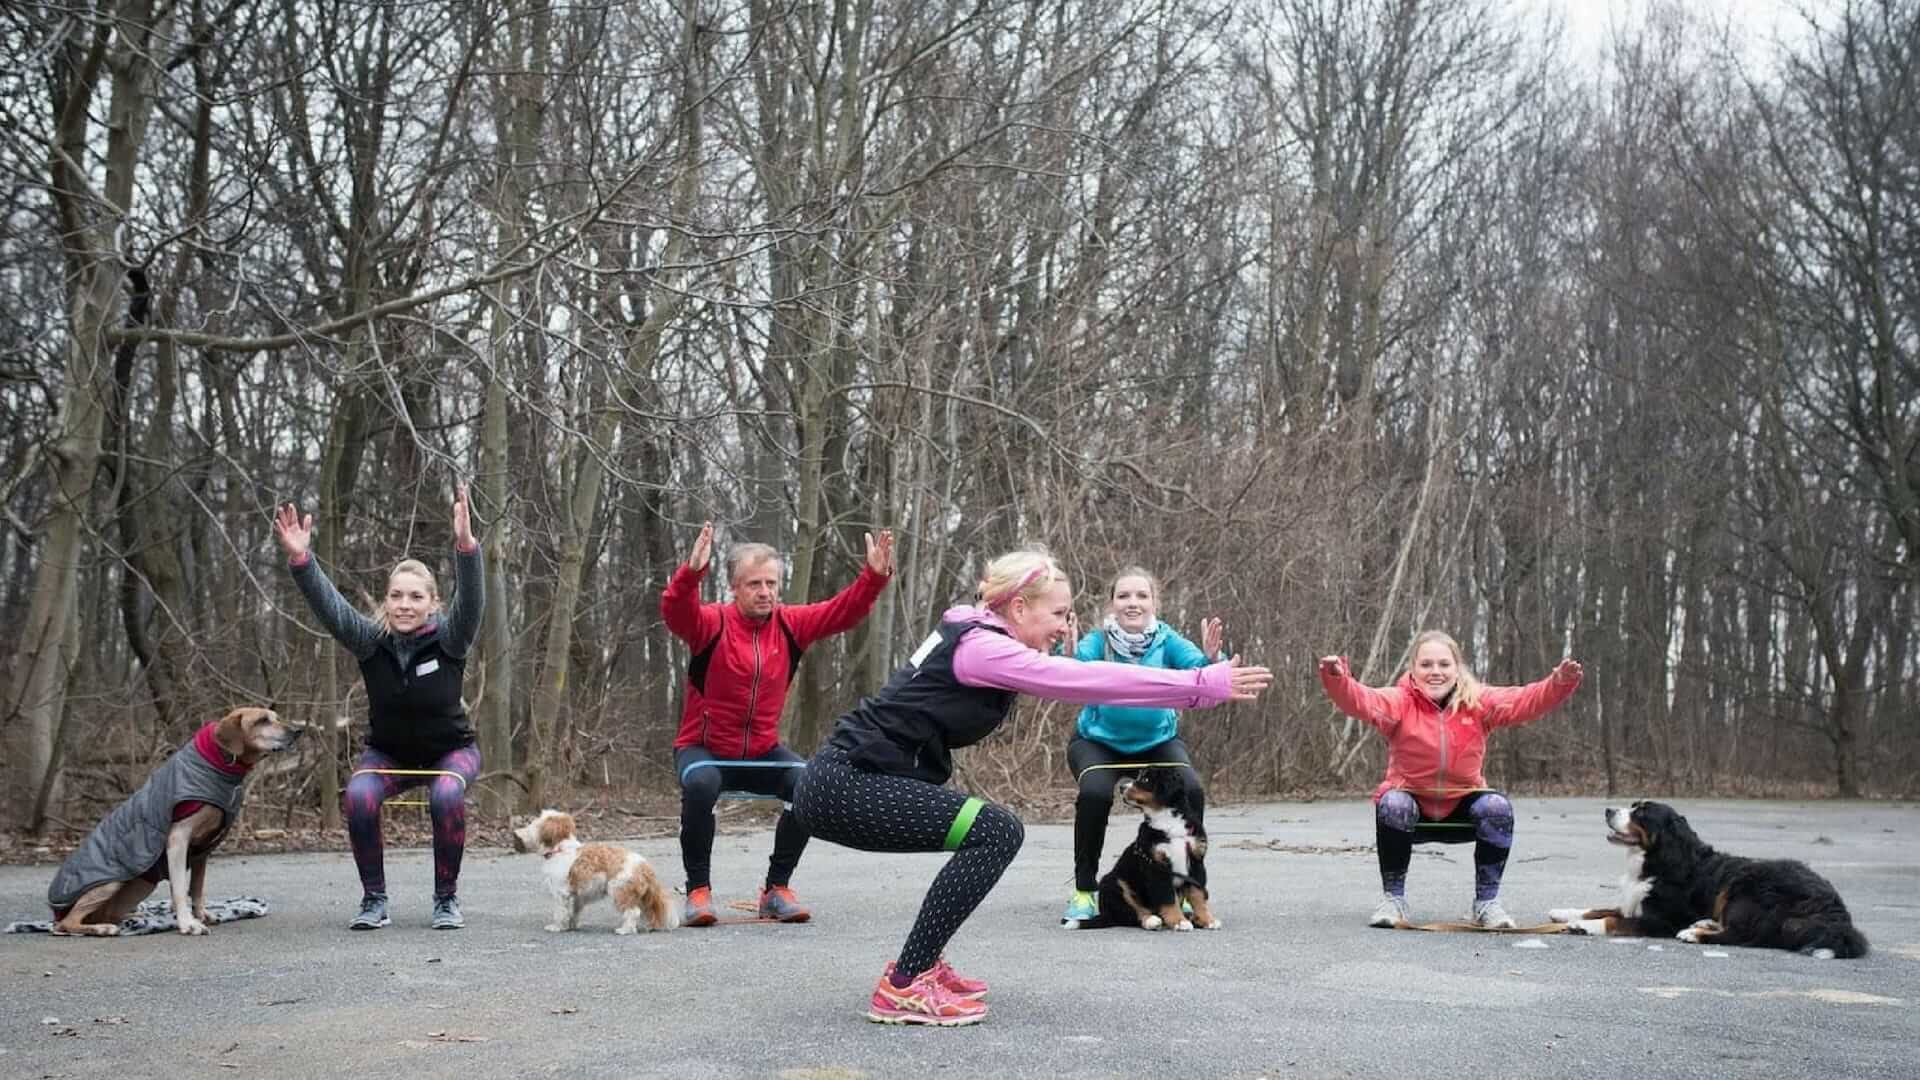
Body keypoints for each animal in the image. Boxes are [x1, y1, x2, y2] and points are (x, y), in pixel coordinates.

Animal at [48, 707, 301, 933]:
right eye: (262, 720)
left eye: (276, 717)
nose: (298, 730)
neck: (217, 762)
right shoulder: (178, 838)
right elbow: (179, 888)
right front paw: (188, 923)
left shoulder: (202, 852)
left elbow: (197, 888)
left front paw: (201, 915)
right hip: (109, 883)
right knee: (66, 924)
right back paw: (102, 928)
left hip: (140, 886)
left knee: (104, 915)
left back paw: (133, 918)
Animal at [514, 803, 679, 930]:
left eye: (533, 824)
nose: (519, 833)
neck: (560, 849)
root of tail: (644, 866)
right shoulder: (576, 896)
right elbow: (573, 912)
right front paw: (572, 926)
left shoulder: (562, 893)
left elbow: (560, 912)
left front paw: (557, 927)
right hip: (640, 896)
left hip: (620, 891)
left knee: (633, 912)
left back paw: (625, 930)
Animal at [1067, 764, 1213, 926]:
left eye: (1146, 779)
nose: (1122, 787)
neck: (1167, 821)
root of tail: (1106, 914)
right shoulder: (1156, 866)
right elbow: (1168, 897)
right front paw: (1178, 921)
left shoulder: (1196, 861)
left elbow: (1198, 894)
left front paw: (1207, 920)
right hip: (1114, 882)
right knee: (1131, 913)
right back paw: (1151, 920)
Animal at [1543, 795, 1873, 953]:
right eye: (1633, 805)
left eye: (1641, 813)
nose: (1608, 810)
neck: (1657, 860)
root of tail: (1835, 908)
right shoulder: (1632, 901)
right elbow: (1597, 908)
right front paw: (1564, 912)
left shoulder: (1661, 920)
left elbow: (1612, 919)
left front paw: (1582, 926)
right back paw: (1704, 923)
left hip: (1745, 886)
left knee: (1745, 935)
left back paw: (1694, 933)